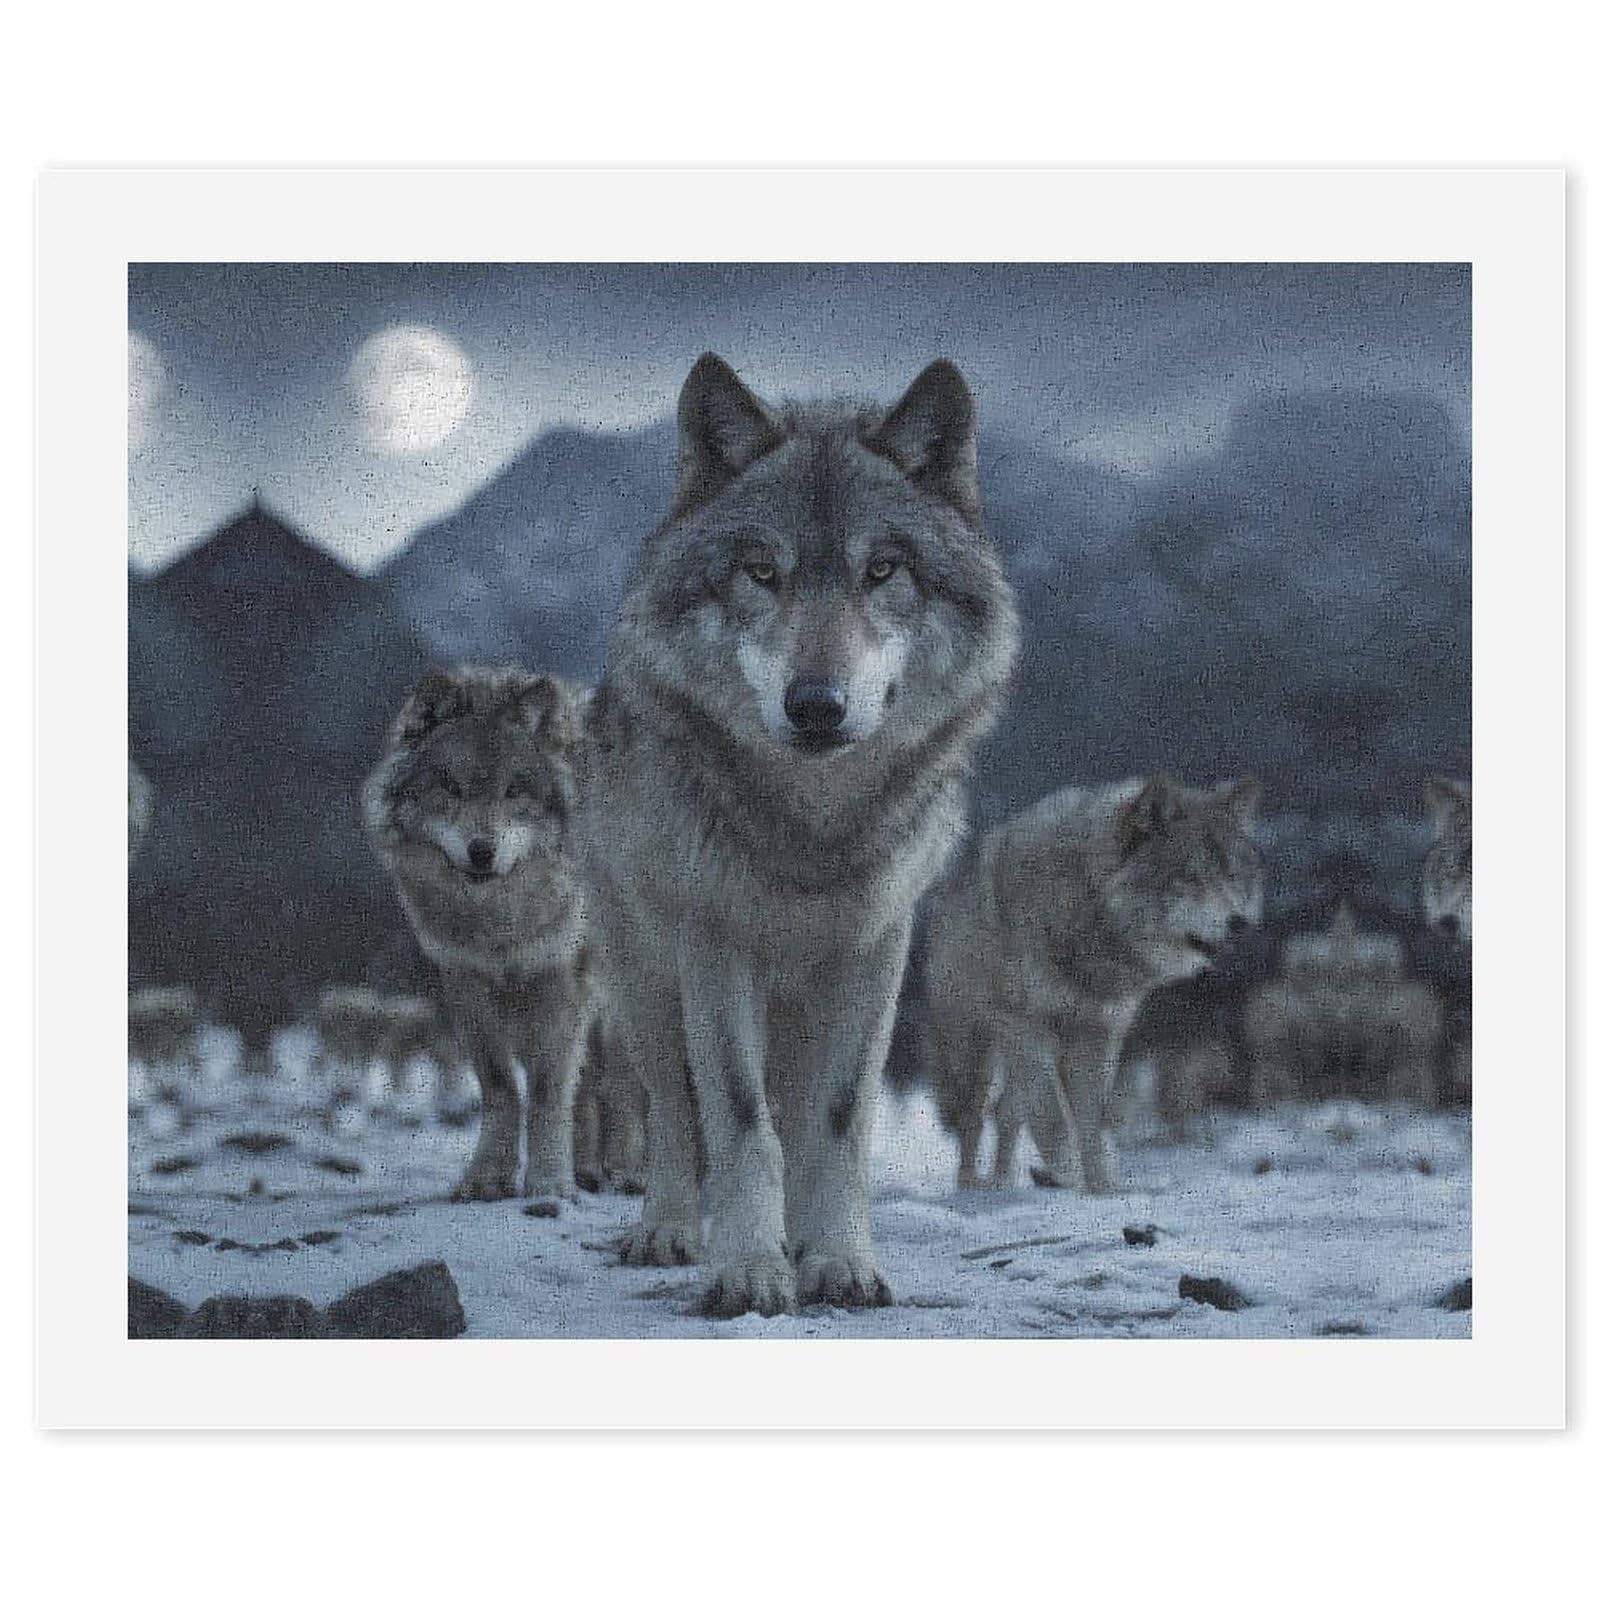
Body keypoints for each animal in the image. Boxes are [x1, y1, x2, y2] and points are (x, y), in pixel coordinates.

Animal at [363, 666, 597, 1202]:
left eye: (514, 791)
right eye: (450, 786)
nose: (482, 851)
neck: (498, 926)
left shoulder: (562, 983)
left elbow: (549, 1091)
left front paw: (549, 1183)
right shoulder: (465, 984)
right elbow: (500, 1087)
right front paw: (488, 1178)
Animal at [578, 353, 1018, 1315]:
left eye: (883, 570)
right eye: (760, 571)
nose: (816, 705)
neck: (813, 829)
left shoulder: (877, 949)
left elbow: (838, 1121)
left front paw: (838, 1260)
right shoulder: (714, 945)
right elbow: (739, 1123)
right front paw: (747, 1268)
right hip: (646, 986)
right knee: (673, 1115)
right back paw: (669, 1231)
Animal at [927, 776, 1263, 1192]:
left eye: (1232, 876)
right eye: (1190, 878)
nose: (1239, 923)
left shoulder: (1097, 1033)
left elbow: (1092, 1122)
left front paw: (1101, 1187)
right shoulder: (1024, 1025)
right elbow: (1053, 1116)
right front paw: (1070, 1175)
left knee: (1006, 1112)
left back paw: (1004, 1181)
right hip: (975, 1054)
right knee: (973, 1116)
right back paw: (971, 1183)